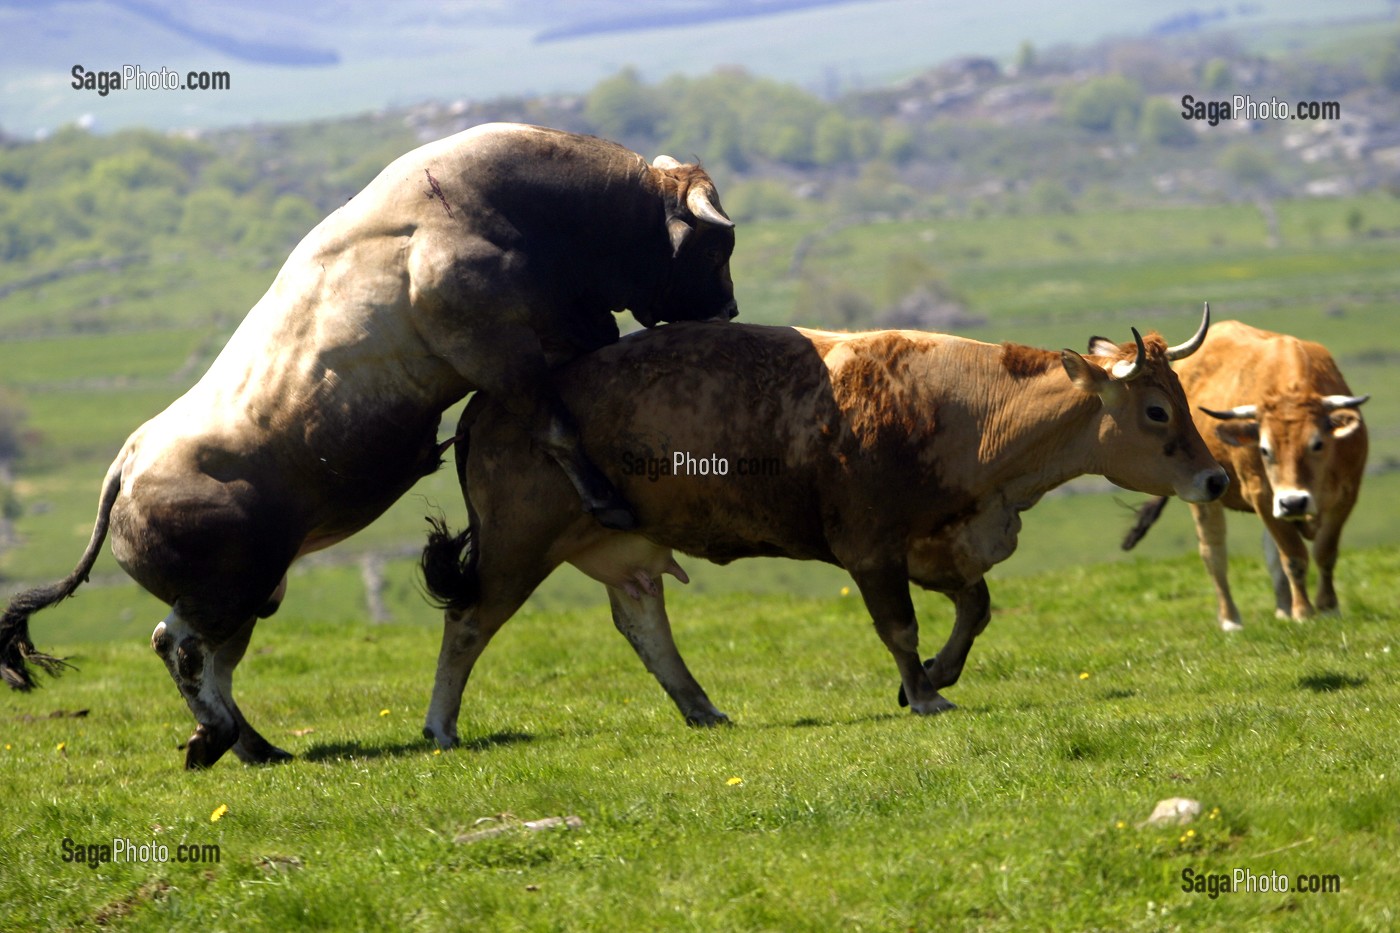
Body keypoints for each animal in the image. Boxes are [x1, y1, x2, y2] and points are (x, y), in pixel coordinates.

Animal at [0, 119, 739, 767]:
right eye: (716, 247)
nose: (730, 309)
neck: (520, 210)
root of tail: (130, 461)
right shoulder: (501, 354)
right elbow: (556, 425)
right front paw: (605, 499)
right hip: (230, 586)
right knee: (177, 647)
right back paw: (217, 737)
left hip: (254, 592)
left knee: (215, 665)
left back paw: (250, 746)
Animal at [417, 308, 1226, 745]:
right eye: (1157, 410)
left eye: (1183, 397)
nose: (1215, 478)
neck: (962, 410)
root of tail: (489, 405)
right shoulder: (870, 548)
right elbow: (899, 626)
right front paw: (924, 692)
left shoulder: (935, 542)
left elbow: (977, 606)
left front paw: (938, 673)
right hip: (516, 545)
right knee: (467, 622)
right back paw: (440, 726)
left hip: (622, 547)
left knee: (644, 624)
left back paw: (701, 706)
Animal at [1120, 316, 1372, 627]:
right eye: (1264, 449)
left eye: (1318, 443)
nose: (1293, 502)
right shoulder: (1263, 495)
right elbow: (1294, 557)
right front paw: (1303, 612)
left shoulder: (1347, 495)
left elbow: (1324, 552)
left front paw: (1327, 608)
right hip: (1205, 498)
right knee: (1214, 553)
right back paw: (1231, 619)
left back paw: (1283, 609)